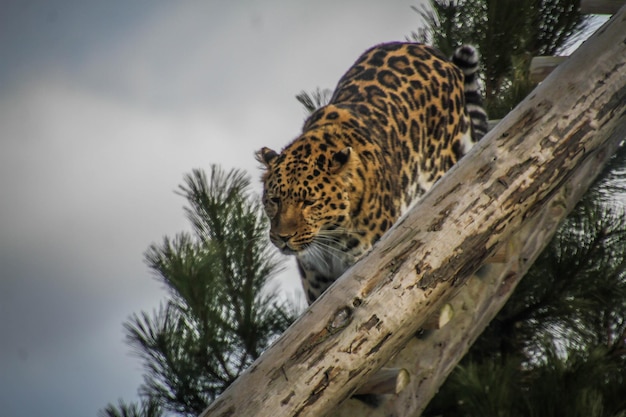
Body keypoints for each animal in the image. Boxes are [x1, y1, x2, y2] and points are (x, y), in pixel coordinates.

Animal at [256, 41, 486, 302]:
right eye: (274, 200)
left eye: (309, 202)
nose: (283, 237)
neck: (329, 239)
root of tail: (431, 52)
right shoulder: (315, 279)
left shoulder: (367, 262)